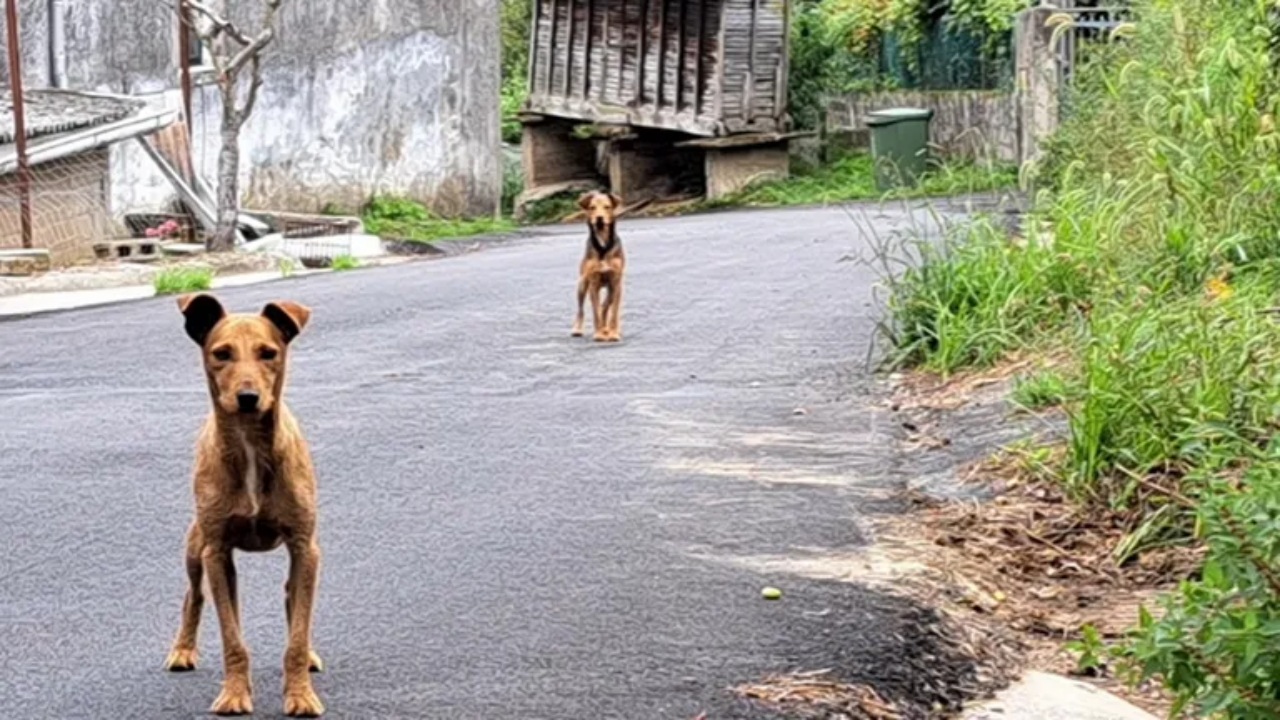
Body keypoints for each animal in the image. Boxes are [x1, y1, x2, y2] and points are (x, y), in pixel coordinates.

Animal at [166, 294, 325, 712]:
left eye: (269, 353)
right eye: (221, 354)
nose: (248, 398)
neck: (250, 445)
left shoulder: (305, 548)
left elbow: (297, 633)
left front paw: (300, 695)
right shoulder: (217, 552)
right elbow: (232, 637)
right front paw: (235, 694)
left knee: (292, 598)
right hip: (196, 547)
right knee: (194, 595)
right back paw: (182, 650)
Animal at [573, 188, 627, 338]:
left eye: (607, 207)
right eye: (592, 208)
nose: (599, 218)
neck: (603, 246)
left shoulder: (616, 282)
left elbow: (613, 311)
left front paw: (613, 333)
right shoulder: (593, 282)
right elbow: (595, 311)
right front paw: (598, 334)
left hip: (611, 288)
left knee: (605, 305)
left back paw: (606, 329)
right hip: (582, 284)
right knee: (581, 309)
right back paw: (578, 329)